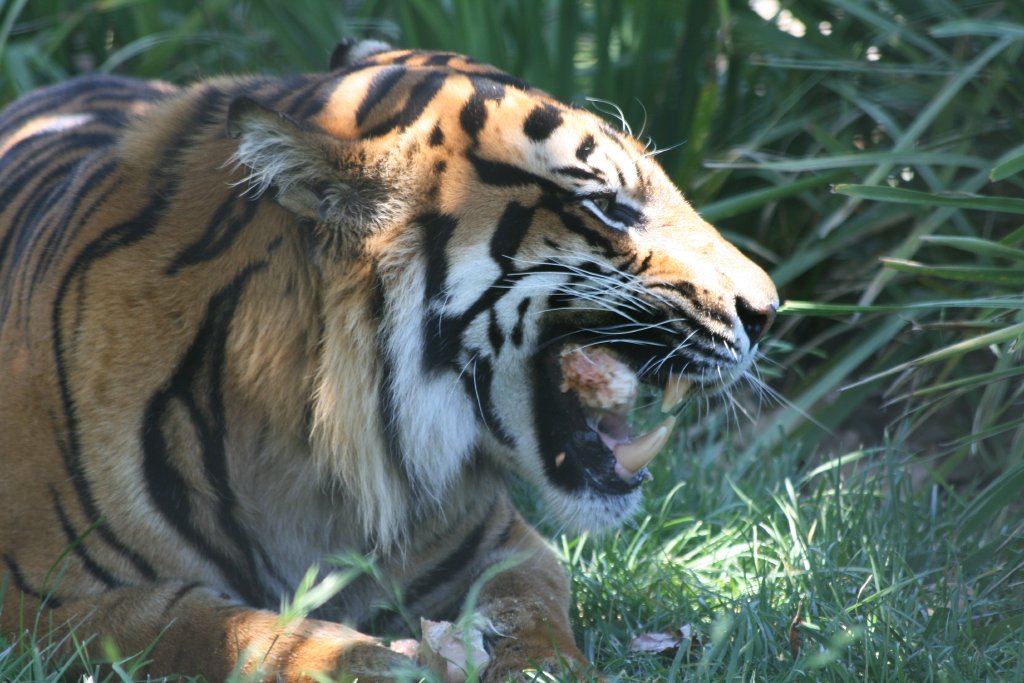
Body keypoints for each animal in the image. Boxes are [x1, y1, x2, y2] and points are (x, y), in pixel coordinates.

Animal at [0, 40, 778, 681]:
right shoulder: (38, 604)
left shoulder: (502, 543)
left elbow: (532, 614)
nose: (770, 310)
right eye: (608, 206)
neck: (311, 455)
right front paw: (378, 662)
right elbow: (209, 627)